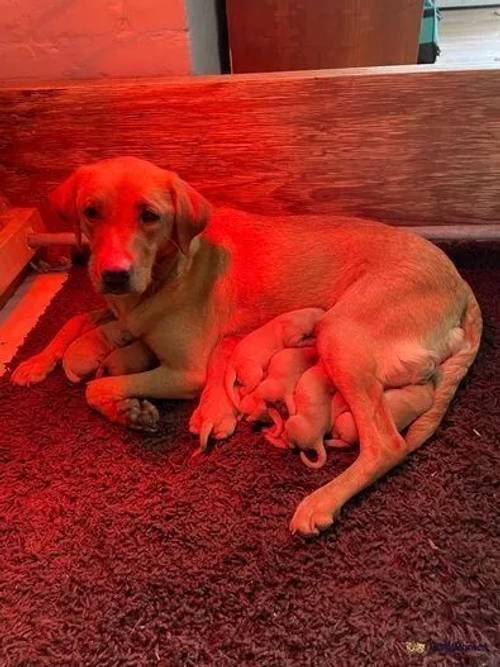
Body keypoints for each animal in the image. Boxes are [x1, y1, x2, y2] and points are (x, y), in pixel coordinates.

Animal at [11, 157, 480, 536]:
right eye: (90, 212)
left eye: (150, 216)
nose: (113, 275)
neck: (169, 268)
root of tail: (460, 282)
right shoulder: (122, 313)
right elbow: (75, 318)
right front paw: (35, 362)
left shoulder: (188, 372)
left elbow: (95, 388)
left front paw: (129, 410)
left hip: (340, 334)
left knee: (386, 445)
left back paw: (320, 502)